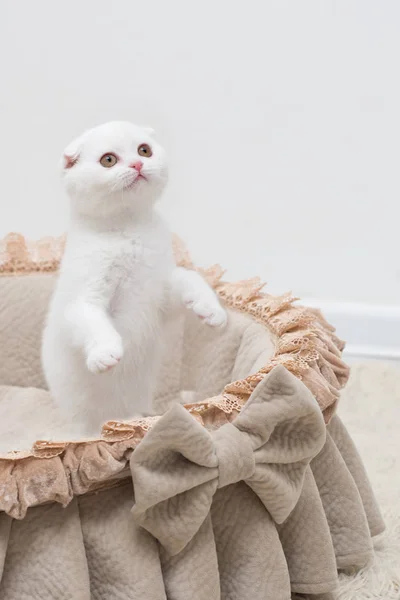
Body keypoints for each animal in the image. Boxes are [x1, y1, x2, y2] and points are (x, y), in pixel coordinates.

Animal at [42, 120, 228, 436]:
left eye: (144, 150)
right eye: (108, 160)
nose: (138, 163)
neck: (128, 231)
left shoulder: (159, 293)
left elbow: (189, 278)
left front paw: (210, 309)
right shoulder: (84, 295)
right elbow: (91, 320)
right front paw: (105, 351)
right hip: (79, 412)